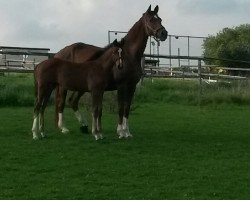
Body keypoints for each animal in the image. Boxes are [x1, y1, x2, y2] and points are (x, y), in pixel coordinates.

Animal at [54, 5, 168, 139]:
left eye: (160, 19)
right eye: (151, 20)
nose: (164, 33)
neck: (128, 54)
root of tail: (59, 54)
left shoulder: (132, 86)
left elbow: (127, 108)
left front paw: (127, 132)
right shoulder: (121, 85)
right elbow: (120, 108)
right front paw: (121, 131)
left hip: (81, 87)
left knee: (72, 101)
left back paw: (84, 126)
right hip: (64, 86)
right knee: (61, 102)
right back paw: (63, 128)